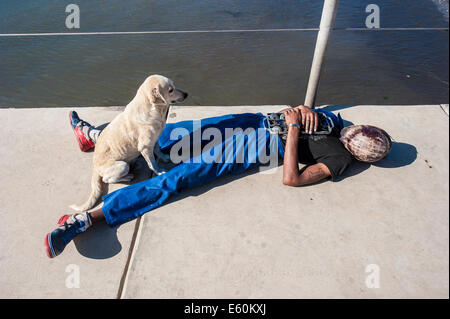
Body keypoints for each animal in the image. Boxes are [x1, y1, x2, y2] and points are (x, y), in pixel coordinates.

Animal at [70, 75, 188, 212]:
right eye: (170, 90)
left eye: (173, 86)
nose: (186, 94)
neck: (154, 109)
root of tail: (95, 167)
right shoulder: (145, 147)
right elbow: (152, 163)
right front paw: (159, 171)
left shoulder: (154, 139)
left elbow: (158, 150)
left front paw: (164, 157)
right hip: (122, 166)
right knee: (107, 179)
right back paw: (127, 177)